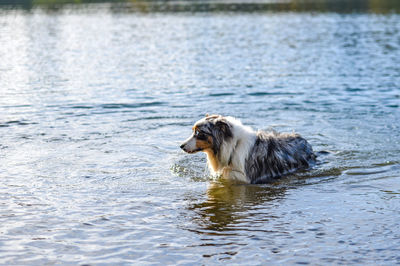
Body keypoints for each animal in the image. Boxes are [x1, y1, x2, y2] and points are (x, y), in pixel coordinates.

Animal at [180, 114, 316, 183]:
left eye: (199, 133)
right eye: (193, 131)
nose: (181, 146)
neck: (233, 147)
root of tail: (305, 141)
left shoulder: (245, 176)